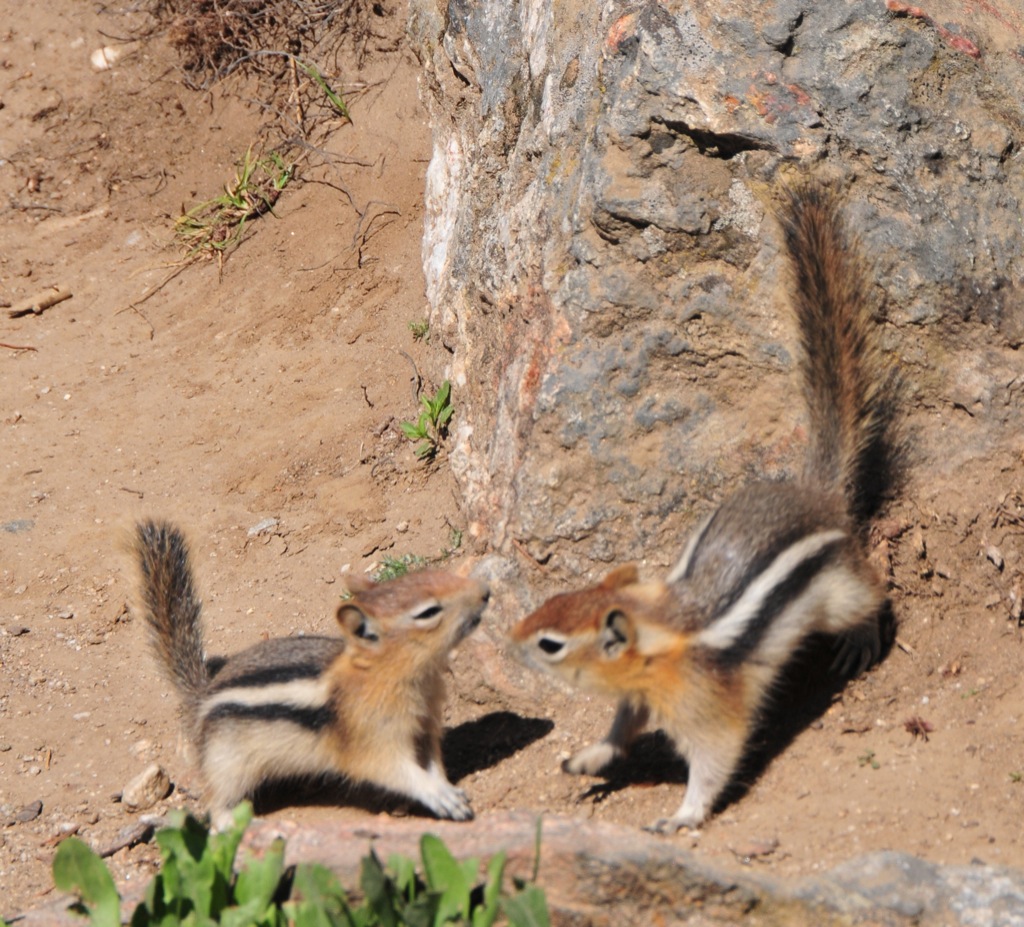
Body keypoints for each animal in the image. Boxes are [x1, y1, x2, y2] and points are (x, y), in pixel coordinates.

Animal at [133, 519, 489, 830]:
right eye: (428, 612)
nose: (484, 592)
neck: (388, 674)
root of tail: (202, 695)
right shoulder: (371, 740)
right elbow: (394, 771)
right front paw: (436, 794)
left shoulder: (425, 728)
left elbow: (432, 763)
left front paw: (447, 789)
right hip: (228, 766)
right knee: (217, 804)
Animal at [511, 185, 900, 833]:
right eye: (550, 602)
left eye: (550, 645)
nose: (509, 638)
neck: (658, 640)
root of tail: (815, 492)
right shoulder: (640, 696)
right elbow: (621, 728)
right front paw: (592, 756)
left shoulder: (709, 707)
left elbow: (716, 757)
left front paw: (682, 816)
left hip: (841, 587)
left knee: (872, 595)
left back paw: (862, 639)